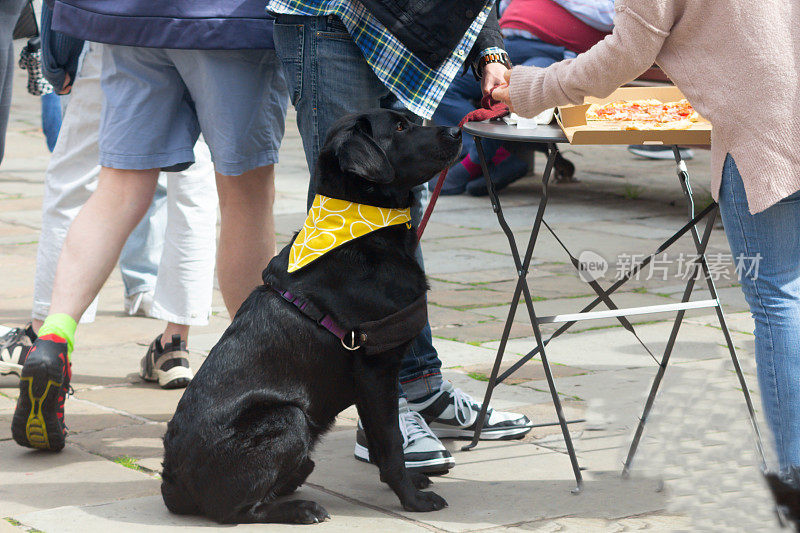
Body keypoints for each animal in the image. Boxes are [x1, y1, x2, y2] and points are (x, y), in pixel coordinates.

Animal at [161, 109, 462, 524]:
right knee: (236, 511)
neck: (360, 227)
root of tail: (172, 483)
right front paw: (413, 501)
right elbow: (392, 444)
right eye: (400, 127)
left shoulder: (370, 383)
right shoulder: (376, 370)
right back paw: (301, 509)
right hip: (289, 418)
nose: (457, 131)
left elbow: (382, 445)